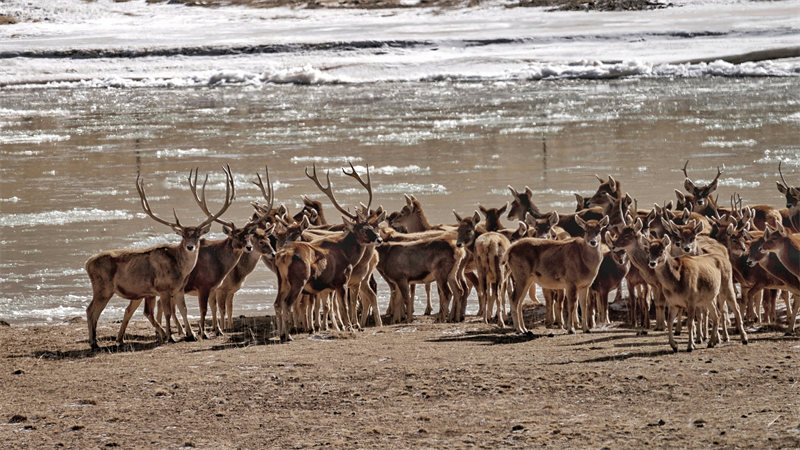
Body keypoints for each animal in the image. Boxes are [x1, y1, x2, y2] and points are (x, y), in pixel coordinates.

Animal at [86, 169, 233, 348]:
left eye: (197, 235)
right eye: (183, 236)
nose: (190, 247)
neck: (180, 270)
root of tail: (87, 263)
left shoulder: (178, 289)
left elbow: (183, 310)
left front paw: (191, 335)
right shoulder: (163, 288)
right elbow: (168, 312)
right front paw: (172, 336)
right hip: (103, 287)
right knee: (91, 310)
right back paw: (94, 342)